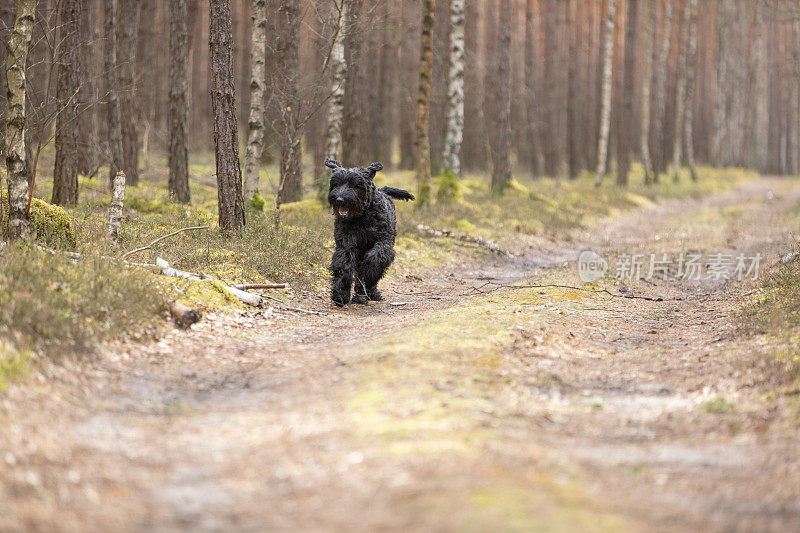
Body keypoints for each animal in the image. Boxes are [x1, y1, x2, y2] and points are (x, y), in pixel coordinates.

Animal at [324, 158, 416, 306]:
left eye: (355, 184)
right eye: (336, 184)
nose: (339, 199)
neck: (361, 217)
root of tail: (382, 189)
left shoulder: (383, 242)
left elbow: (376, 258)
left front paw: (371, 273)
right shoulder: (346, 245)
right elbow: (343, 265)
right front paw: (340, 294)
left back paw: (371, 292)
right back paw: (360, 296)